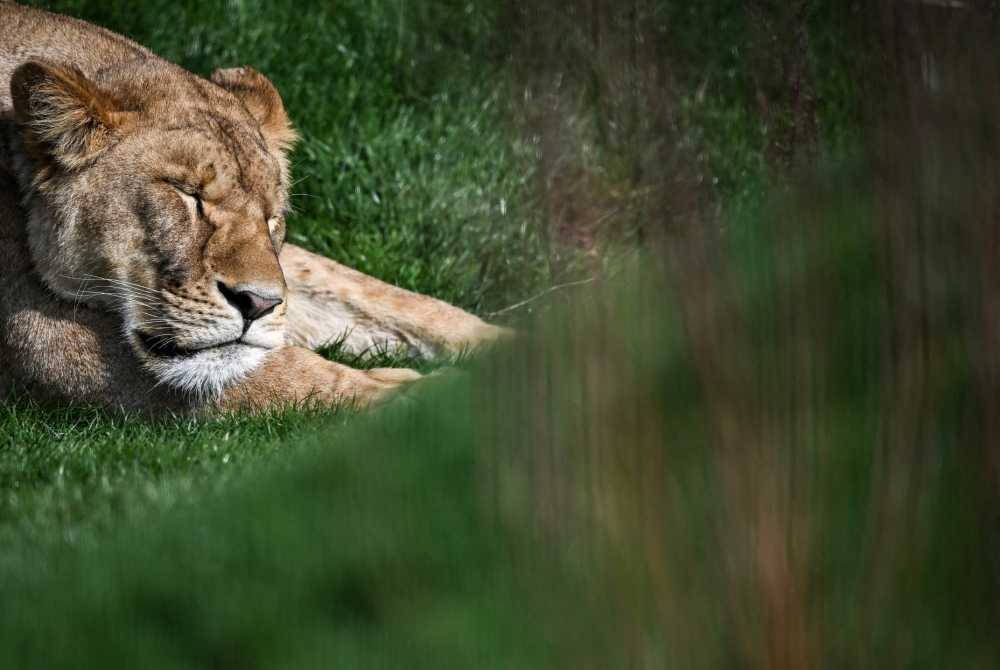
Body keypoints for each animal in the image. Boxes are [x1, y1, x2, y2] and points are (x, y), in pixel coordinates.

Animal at [0, 2, 508, 414]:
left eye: (271, 218)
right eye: (189, 195)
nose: (259, 304)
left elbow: (382, 296)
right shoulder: (37, 331)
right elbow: (281, 376)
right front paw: (426, 398)